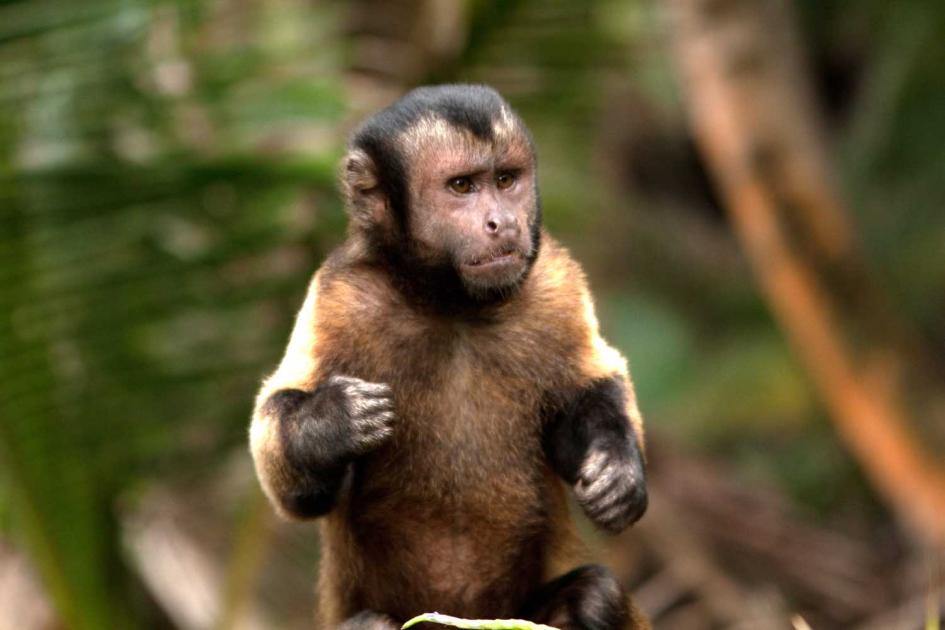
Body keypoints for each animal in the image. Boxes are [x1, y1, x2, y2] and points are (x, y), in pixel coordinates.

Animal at [249, 85, 650, 629]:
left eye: (505, 180)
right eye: (461, 186)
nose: (502, 223)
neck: (451, 306)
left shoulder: (554, 281)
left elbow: (589, 388)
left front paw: (618, 469)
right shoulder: (338, 295)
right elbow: (294, 485)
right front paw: (329, 421)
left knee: (596, 596)